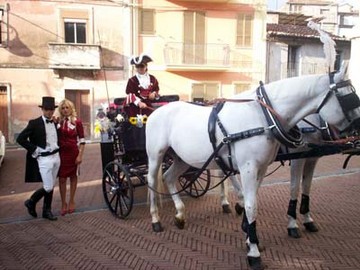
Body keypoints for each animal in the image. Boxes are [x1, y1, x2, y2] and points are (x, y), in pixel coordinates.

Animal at [145, 66, 358, 270]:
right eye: (348, 98)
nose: (357, 129)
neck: (265, 117)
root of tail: (156, 112)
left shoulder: (264, 168)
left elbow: (257, 199)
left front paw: (249, 237)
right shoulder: (252, 167)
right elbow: (254, 204)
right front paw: (254, 251)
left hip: (183, 158)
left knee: (169, 177)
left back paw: (180, 214)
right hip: (155, 156)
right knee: (152, 181)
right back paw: (155, 220)